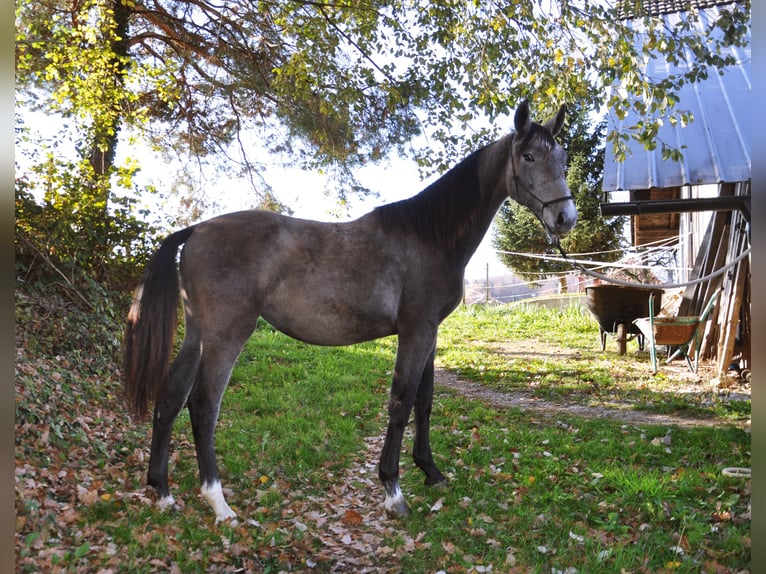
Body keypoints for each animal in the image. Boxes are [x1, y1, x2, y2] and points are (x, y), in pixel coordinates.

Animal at [123, 101, 576, 524]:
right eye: (529, 157)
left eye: (563, 158)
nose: (564, 217)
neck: (429, 235)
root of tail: (196, 230)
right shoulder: (415, 331)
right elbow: (401, 402)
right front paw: (393, 490)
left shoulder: (430, 334)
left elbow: (424, 401)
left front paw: (431, 471)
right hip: (226, 334)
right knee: (202, 407)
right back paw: (218, 503)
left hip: (197, 334)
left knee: (170, 398)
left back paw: (163, 492)